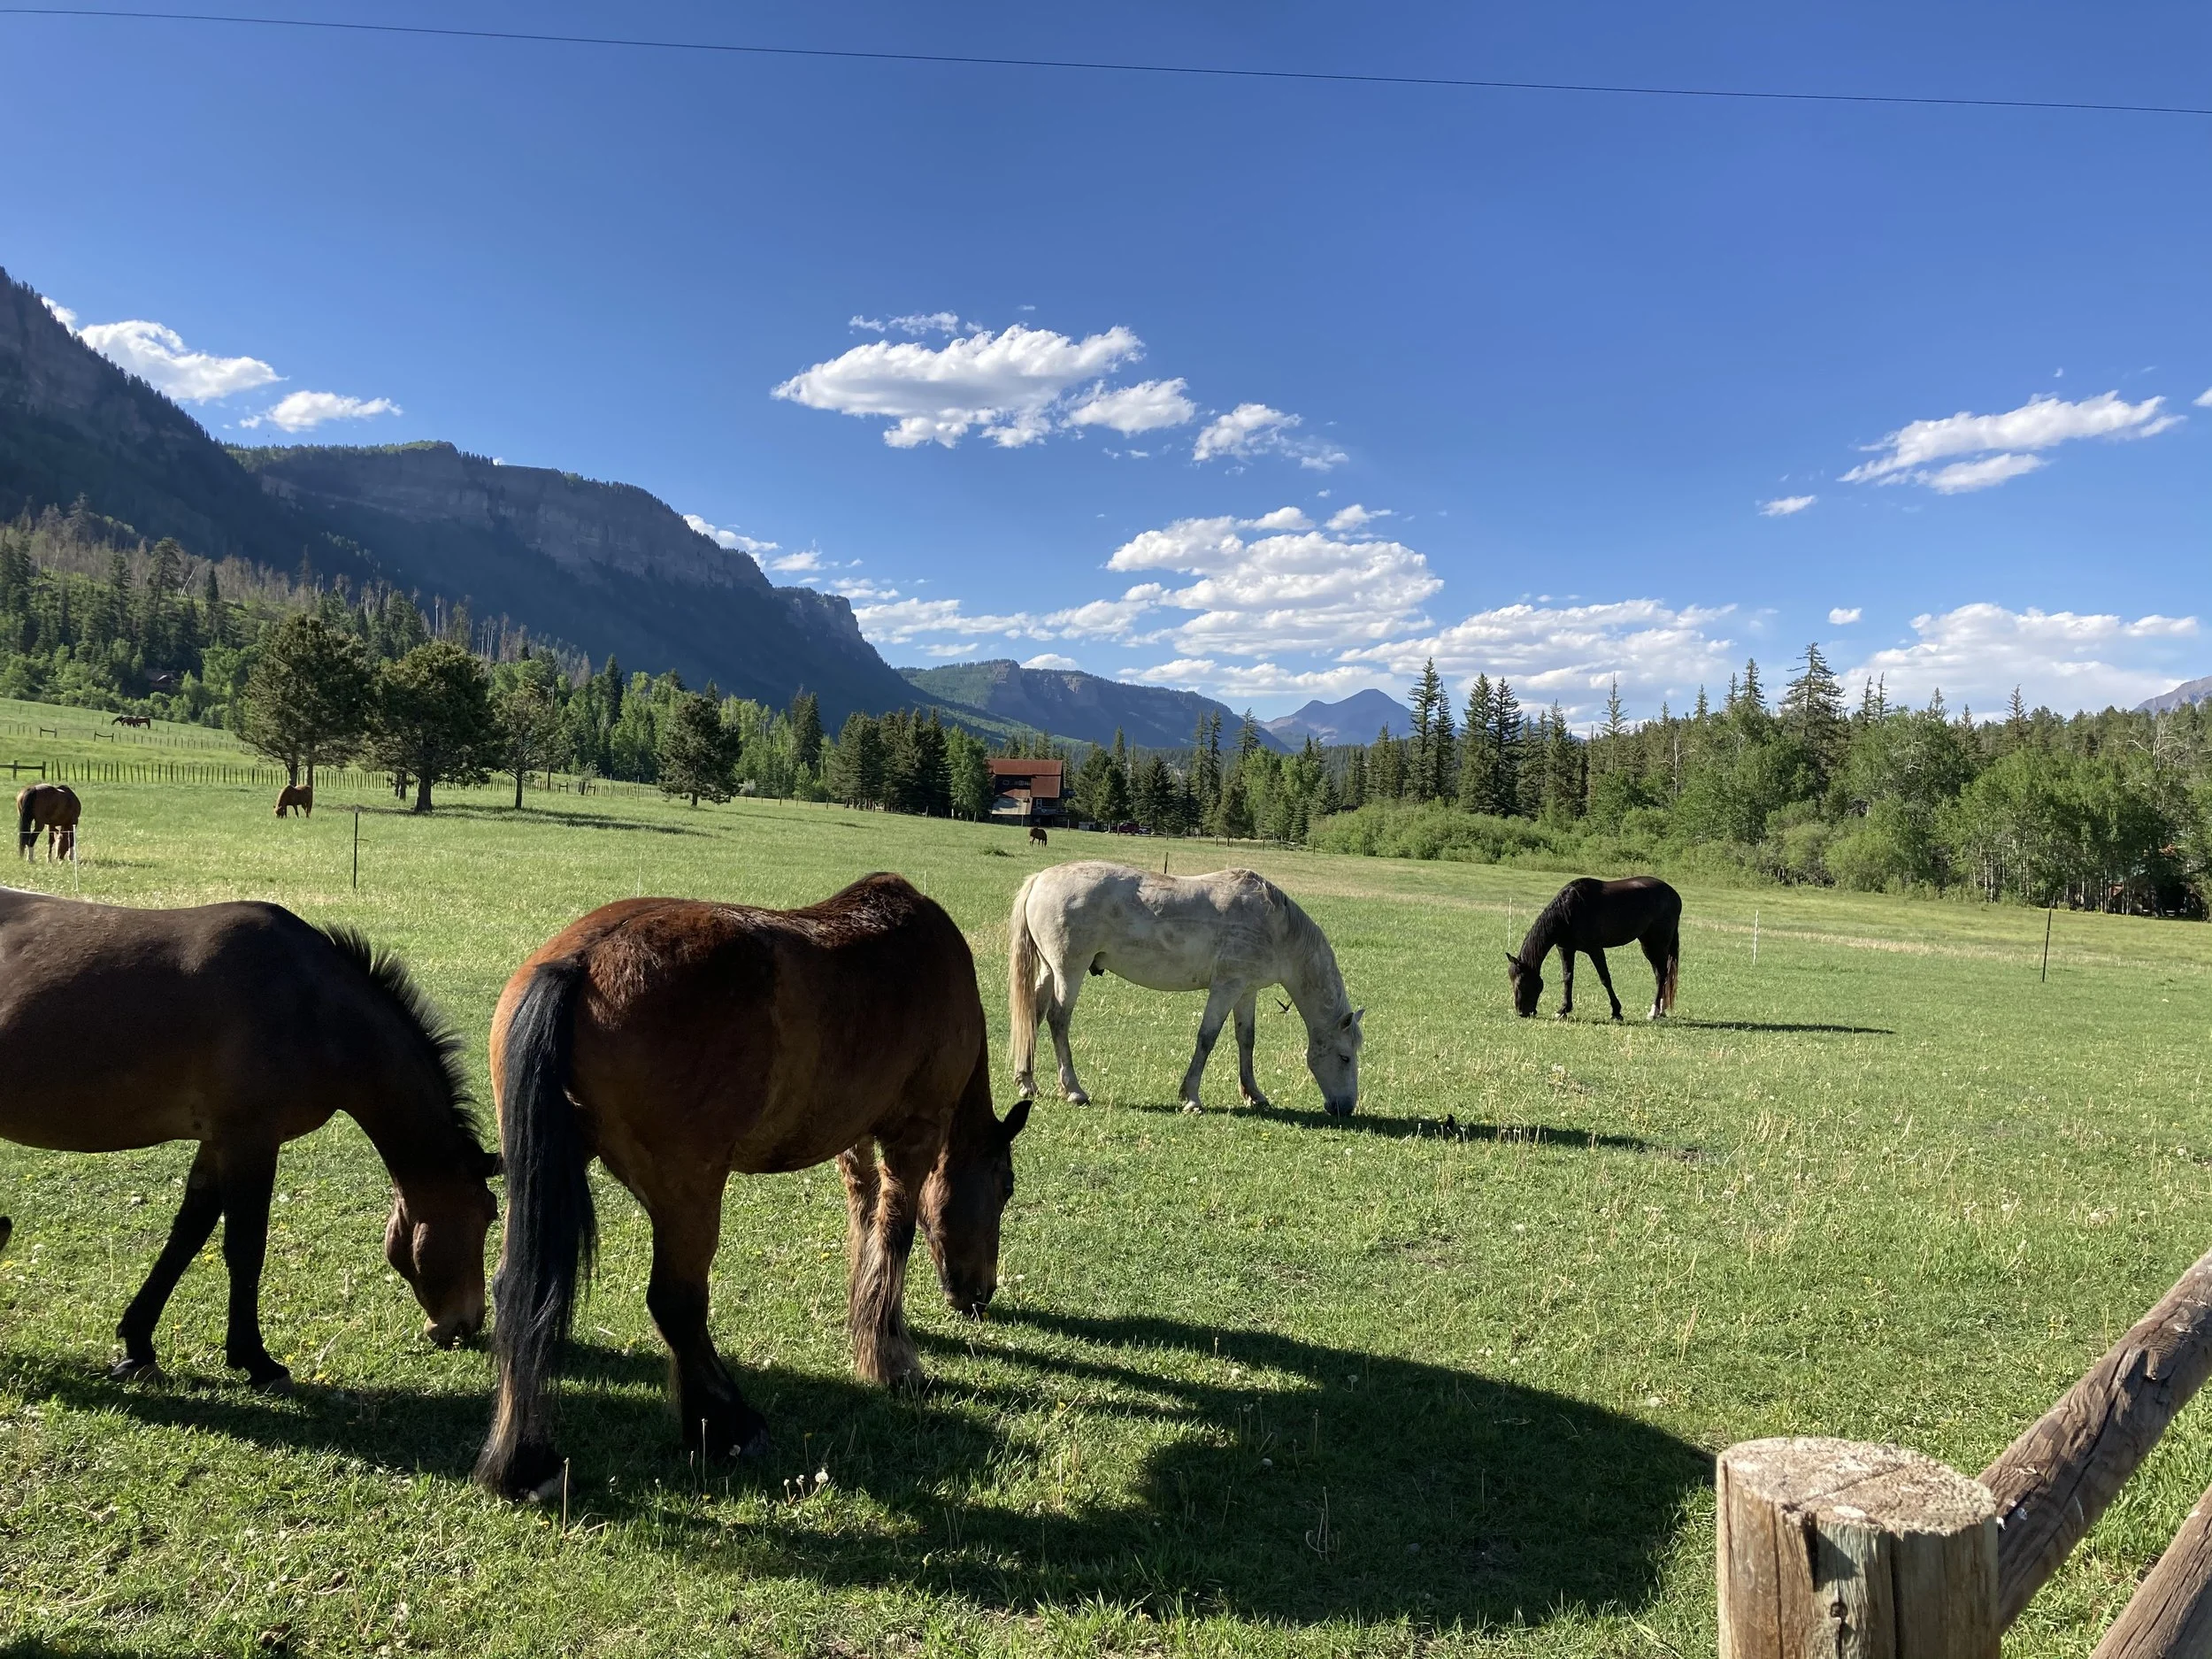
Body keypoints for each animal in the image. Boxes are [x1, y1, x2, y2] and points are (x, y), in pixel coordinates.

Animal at [0, 887, 499, 1389]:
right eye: (487, 1216)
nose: (468, 1323)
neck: (312, 1004)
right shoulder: (251, 1140)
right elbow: (246, 1247)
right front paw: (255, 1359)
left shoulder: (218, 1142)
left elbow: (188, 1234)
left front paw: (139, 1344)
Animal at [475, 873, 1030, 1501]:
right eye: (1005, 1187)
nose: (978, 1292)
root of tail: (580, 960)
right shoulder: (912, 1136)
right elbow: (894, 1234)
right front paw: (891, 1357)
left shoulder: (855, 1141)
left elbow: (865, 1225)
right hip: (688, 1193)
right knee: (677, 1302)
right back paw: (727, 1424)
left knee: (520, 1290)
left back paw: (527, 1460)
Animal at [1009, 861, 1363, 1116]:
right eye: (1345, 1057)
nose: (1345, 1108)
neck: (1277, 927)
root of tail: (1040, 879)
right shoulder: (1226, 987)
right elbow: (1207, 1038)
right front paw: (1191, 1097)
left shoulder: (1246, 991)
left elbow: (1246, 1040)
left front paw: (1254, 1094)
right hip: (1069, 971)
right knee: (1058, 1020)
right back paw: (1074, 1090)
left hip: (1049, 970)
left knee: (1034, 1015)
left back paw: (1027, 1083)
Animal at [1507, 876, 1681, 1021]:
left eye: (1520, 983)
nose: (1522, 1012)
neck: (1569, 910)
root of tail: (1674, 895)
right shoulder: (1565, 949)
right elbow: (1568, 978)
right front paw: (1563, 1010)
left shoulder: (1595, 949)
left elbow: (1605, 978)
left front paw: (1616, 1012)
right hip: (1649, 944)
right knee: (1660, 976)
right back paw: (1661, 1010)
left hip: (1656, 944)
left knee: (1661, 975)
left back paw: (1654, 1012)